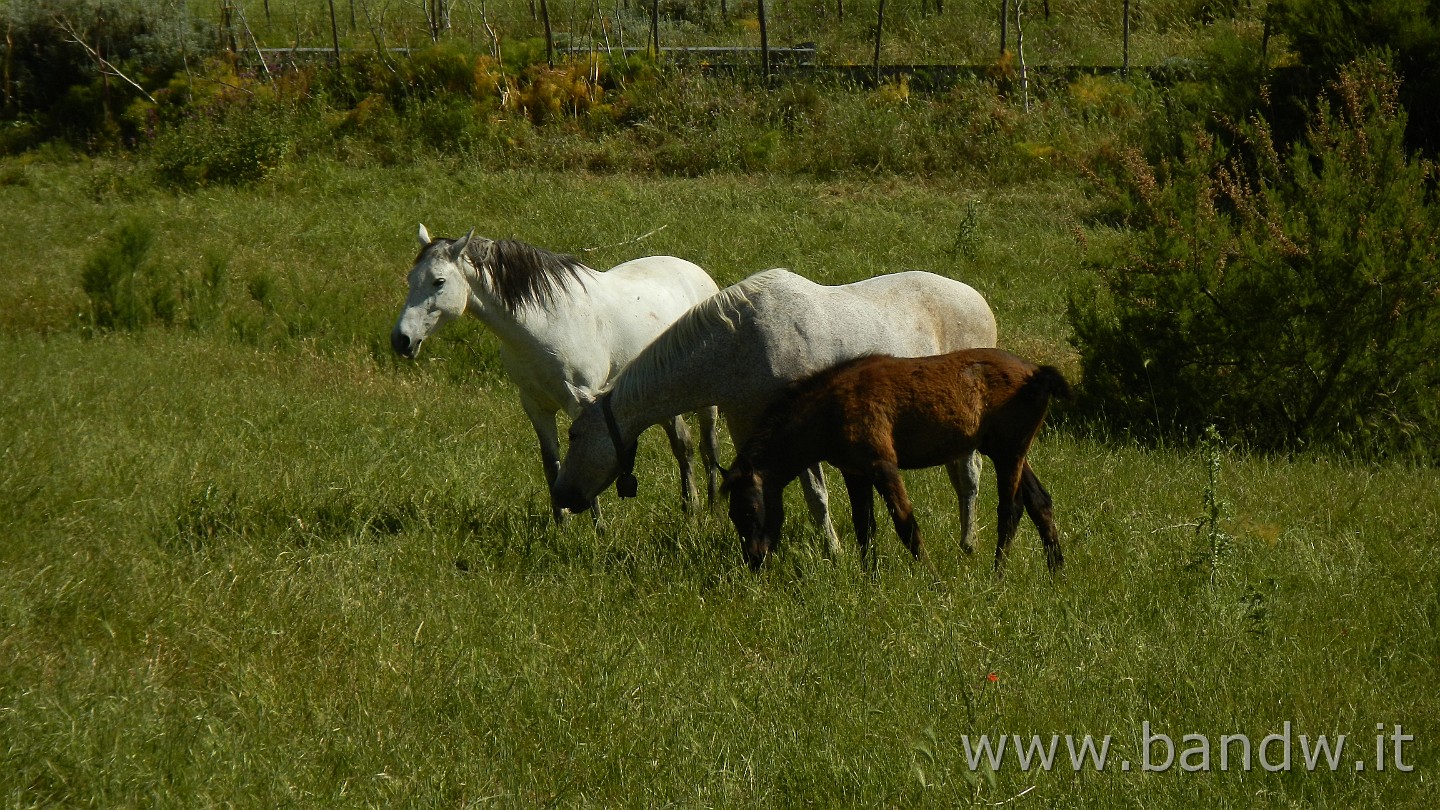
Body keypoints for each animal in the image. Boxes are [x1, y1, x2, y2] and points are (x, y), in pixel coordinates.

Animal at [391, 223, 720, 518]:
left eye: (439, 281)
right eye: (410, 279)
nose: (401, 340)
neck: (544, 325)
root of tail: (695, 272)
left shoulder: (580, 403)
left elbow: (584, 455)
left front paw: (598, 529)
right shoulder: (535, 405)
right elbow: (551, 464)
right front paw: (561, 525)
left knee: (707, 447)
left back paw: (713, 505)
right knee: (683, 444)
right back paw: (690, 506)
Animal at [552, 268, 1002, 550]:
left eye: (574, 434)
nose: (561, 494)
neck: (739, 346)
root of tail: (979, 300)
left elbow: (816, 496)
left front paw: (832, 552)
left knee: (970, 475)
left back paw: (968, 544)